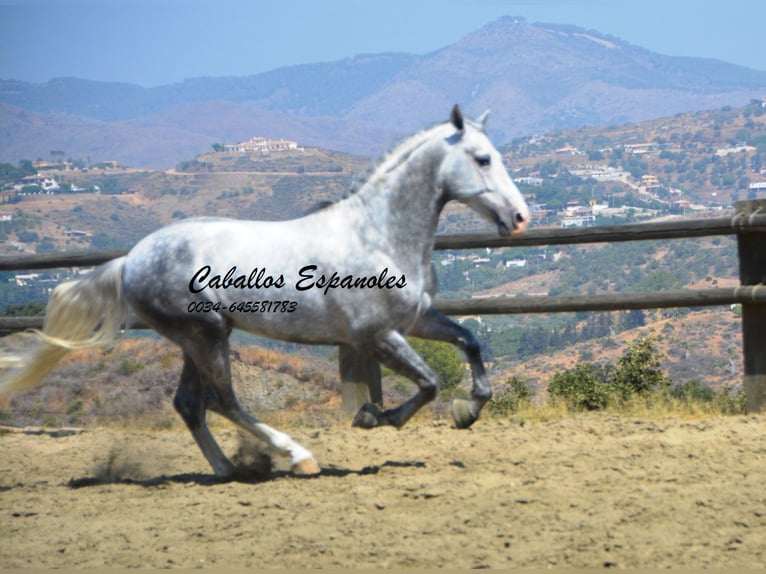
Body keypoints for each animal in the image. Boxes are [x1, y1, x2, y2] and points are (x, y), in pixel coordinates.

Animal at [0, 106, 528, 480]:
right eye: (483, 159)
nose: (519, 218)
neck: (377, 234)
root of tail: (130, 260)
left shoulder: (415, 320)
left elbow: (470, 343)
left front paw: (467, 411)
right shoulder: (376, 335)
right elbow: (428, 383)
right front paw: (372, 417)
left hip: (200, 337)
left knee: (190, 405)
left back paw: (227, 469)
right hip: (206, 335)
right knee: (224, 402)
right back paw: (296, 456)